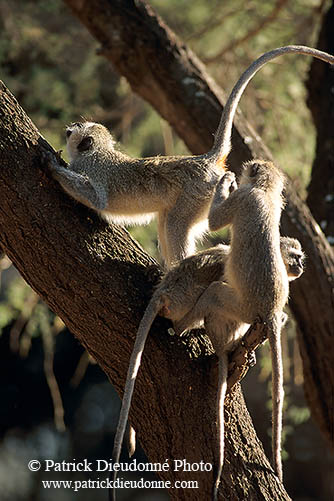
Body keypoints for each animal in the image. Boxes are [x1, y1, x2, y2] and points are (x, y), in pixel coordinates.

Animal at [45, 46, 334, 270]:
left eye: (76, 128)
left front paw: (52, 166)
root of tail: (205, 160)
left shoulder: (86, 166)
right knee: (166, 221)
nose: (69, 126)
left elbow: (97, 199)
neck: (100, 152)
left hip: (197, 194)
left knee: (174, 224)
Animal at [111, 234, 304, 500]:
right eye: (295, 256)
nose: (301, 266)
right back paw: (187, 328)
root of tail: (163, 292)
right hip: (184, 298)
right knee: (211, 290)